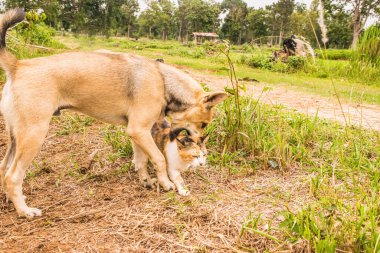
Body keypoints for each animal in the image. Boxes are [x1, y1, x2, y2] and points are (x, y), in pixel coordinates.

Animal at [0, 8, 226, 218]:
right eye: (203, 124)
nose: (201, 143)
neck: (163, 81)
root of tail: (17, 66)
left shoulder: (138, 133)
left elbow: (141, 160)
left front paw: (146, 181)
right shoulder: (139, 130)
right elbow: (159, 159)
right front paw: (166, 183)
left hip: (15, 137)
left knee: (4, 169)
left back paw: (11, 200)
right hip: (34, 135)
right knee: (13, 176)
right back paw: (24, 210)